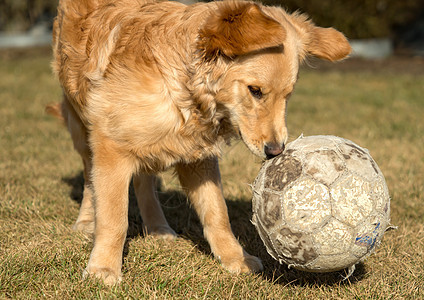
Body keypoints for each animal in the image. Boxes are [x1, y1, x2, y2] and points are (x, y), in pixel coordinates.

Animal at [48, 0, 350, 284]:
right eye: (255, 91)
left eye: (288, 95)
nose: (276, 151)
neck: (182, 87)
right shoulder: (112, 145)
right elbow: (113, 218)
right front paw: (103, 268)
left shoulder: (197, 156)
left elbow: (217, 212)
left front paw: (234, 257)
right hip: (81, 126)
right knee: (90, 177)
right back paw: (87, 220)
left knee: (144, 180)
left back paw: (157, 227)